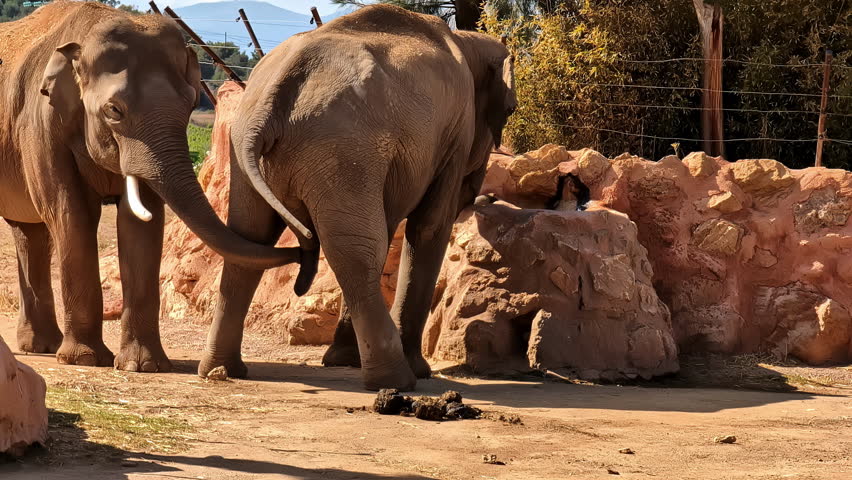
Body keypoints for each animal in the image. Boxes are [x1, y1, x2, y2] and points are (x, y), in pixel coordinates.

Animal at [0, 1, 302, 372]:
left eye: (191, 104)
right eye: (114, 110)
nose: (305, 248)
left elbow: (142, 222)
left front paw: (143, 365)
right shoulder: (39, 125)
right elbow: (70, 213)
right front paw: (86, 360)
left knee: (29, 232)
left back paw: (40, 346)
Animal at [199, 4, 515, 390]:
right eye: (510, 111)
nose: (486, 198)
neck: (465, 39)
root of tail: (273, 95)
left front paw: (345, 360)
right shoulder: (456, 131)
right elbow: (428, 227)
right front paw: (419, 370)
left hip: (257, 148)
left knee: (249, 241)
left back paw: (223, 370)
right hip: (341, 148)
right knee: (356, 248)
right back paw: (397, 380)